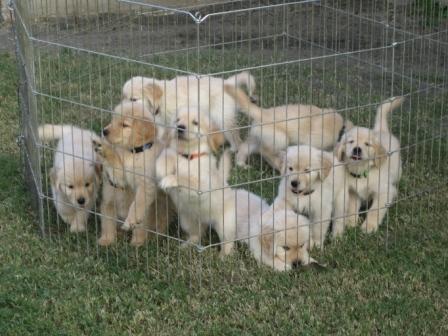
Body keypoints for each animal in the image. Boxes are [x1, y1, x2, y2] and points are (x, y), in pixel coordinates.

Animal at [93, 98, 173, 245]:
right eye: (113, 120)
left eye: (125, 125)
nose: (104, 131)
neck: (132, 153)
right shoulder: (119, 180)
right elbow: (116, 166)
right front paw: (105, 149)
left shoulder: (146, 183)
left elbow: (138, 203)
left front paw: (131, 220)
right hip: (108, 203)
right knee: (107, 222)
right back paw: (107, 239)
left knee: (148, 225)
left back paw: (139, 242)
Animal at [121, 71, 256, 151]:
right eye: (123, 97)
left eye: (133, 99)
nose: (122, 110)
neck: (161, 100)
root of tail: (227, 83)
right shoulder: (161, 124)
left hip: (222, 116)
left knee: (234, 135)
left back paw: (235, 151)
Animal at [156, 107, 240, 255]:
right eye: (177, 120)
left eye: (195, 122)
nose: (180, 127)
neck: (189, 156)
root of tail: (206, 220)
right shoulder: (175, 154)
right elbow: (168, 154)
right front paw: (162, 169)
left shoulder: (202, 186)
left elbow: (186, 178)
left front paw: (170, 179)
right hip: (187, 220)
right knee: (197, 234)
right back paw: (186, 245)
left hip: (225, 224)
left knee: (228, 242)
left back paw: (223, 256)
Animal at [334, 97, 404, 232]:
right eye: (351, 142)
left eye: (367, 144)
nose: (357, 149)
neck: (361, 171)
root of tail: (381, 130)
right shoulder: (352, 191)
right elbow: (352, 207)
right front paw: (350, 223)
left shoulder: (384, 191)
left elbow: (374, 210)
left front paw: (369, 226)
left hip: (397, 171)